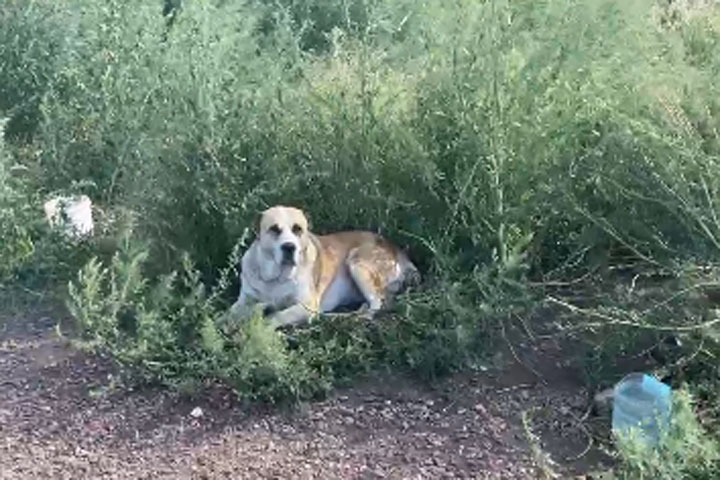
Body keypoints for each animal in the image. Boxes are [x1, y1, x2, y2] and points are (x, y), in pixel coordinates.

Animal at [231, 204, 420, 332]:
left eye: (298, 229)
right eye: (274, 229)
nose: (289, 247)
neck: (275, 278)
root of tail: (397, 249)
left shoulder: (306, 305)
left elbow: (277, 316)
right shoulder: (244, 300)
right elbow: (230, 313)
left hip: (356, 262)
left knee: (376, 304)